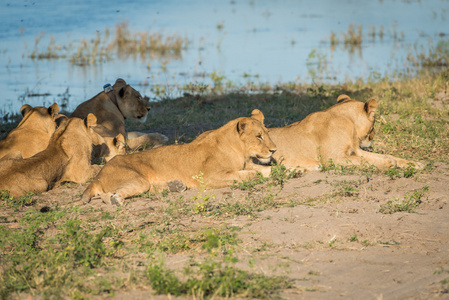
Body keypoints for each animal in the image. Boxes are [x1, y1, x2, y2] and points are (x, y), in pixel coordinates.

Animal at [81, 109, 276, 205]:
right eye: (259, 136)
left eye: (267, 133)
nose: (274, 150)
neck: (240, 151)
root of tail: (99, 174)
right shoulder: (208, 177)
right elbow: (246, 175)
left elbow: (265, 169)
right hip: (135, 179)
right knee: (106, 196)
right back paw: (116, 200)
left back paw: (175, 186)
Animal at [266, 95, 424, 172]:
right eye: (373, 126)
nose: (373, 136)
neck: (348, 121)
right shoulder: (334, 158)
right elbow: (367, 161)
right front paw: (389, 163)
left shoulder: (355, 151)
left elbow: (384, 156)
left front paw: (415, 163)